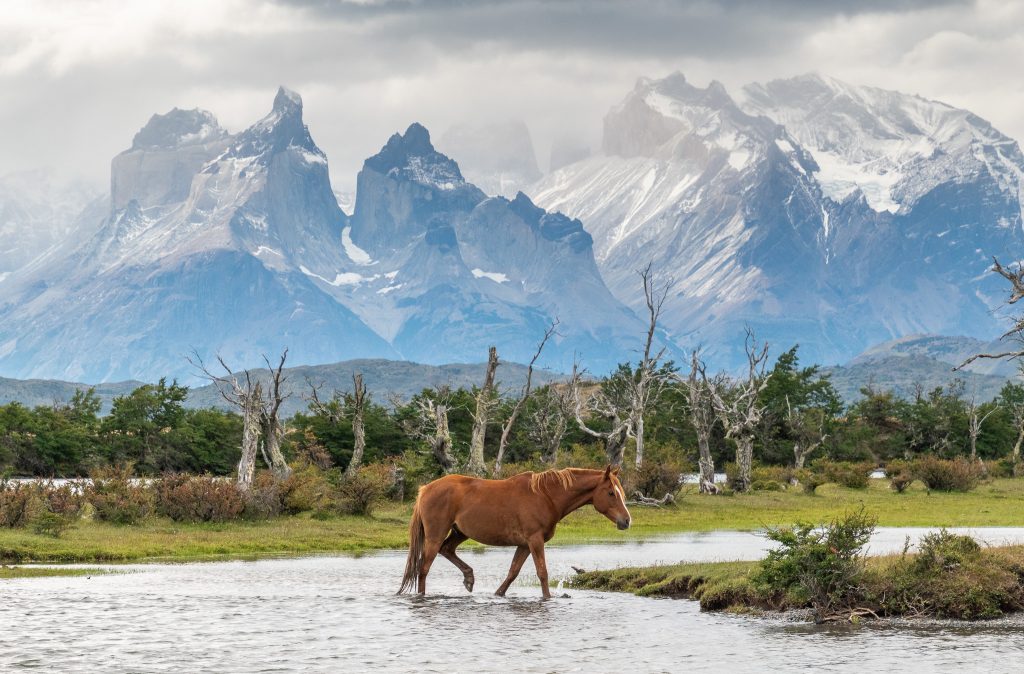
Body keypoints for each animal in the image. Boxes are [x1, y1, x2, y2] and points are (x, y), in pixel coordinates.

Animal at [398, 465, 631, 598]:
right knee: (423, 569)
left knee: (447, 550)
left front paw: (498, 594)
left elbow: (512, 573)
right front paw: (547, 598)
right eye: (611, 493)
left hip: (459, 532)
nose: (627, 520)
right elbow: (542, 573)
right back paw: (423, 596)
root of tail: (425, 489)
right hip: (435, 536)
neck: (546, 496)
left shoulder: (524, 544)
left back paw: (469, 579)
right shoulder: (535, 540)